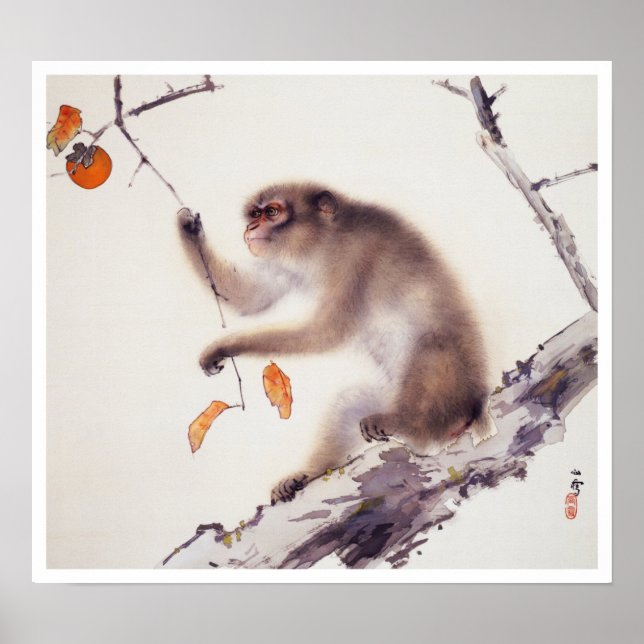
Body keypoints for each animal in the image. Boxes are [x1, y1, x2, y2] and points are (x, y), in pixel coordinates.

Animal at [178, 182, 489, 505]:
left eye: (271, 212)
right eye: (255, 214)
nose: (251, 227)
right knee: (350, 403)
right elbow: (251, 297)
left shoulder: (357, 257)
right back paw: (307, 475)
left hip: (452, 394)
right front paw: (189, 229)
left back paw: (406, 423)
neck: (325, 243)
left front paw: (226, 345)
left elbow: (325, 333)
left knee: (432, 347)